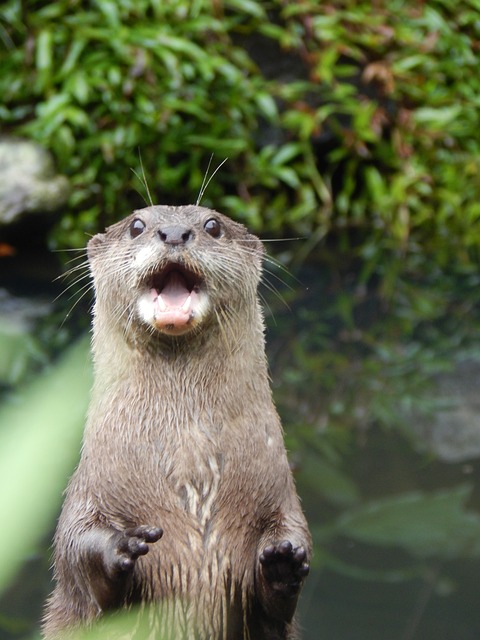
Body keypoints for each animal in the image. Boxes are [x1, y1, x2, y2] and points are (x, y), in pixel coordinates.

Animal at [44, 206, 312, 640]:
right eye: (136, 225)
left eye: (213, 226)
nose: (173, 232)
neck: (190, 460)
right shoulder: (90, 491)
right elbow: (75, 548)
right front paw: (120, 546)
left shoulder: (279, 495)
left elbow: (287, 565)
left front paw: (283, 564)